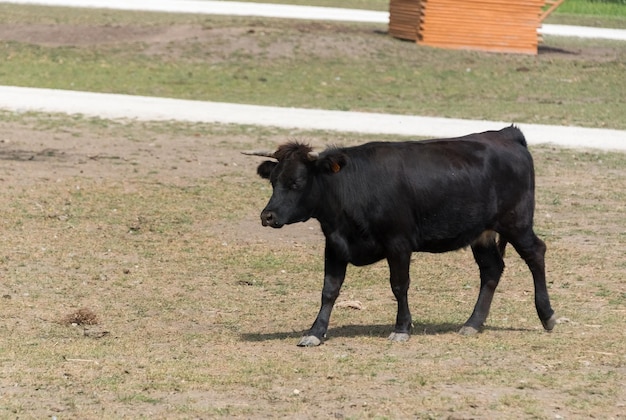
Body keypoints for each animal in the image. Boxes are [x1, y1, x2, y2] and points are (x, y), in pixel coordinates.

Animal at [246, 125, 552, 348]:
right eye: (273, 181)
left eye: (296, 182)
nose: (267, 216)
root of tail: (505, 134)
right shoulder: (334, 245)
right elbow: (329, 290)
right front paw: (315, 332)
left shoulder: (399, 243)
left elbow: (399, 285)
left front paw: (402, 328)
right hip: (482, 233)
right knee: (491, 270)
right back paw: (472, 324)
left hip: (516, 222)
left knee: (536, 253)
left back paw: (547, 316)